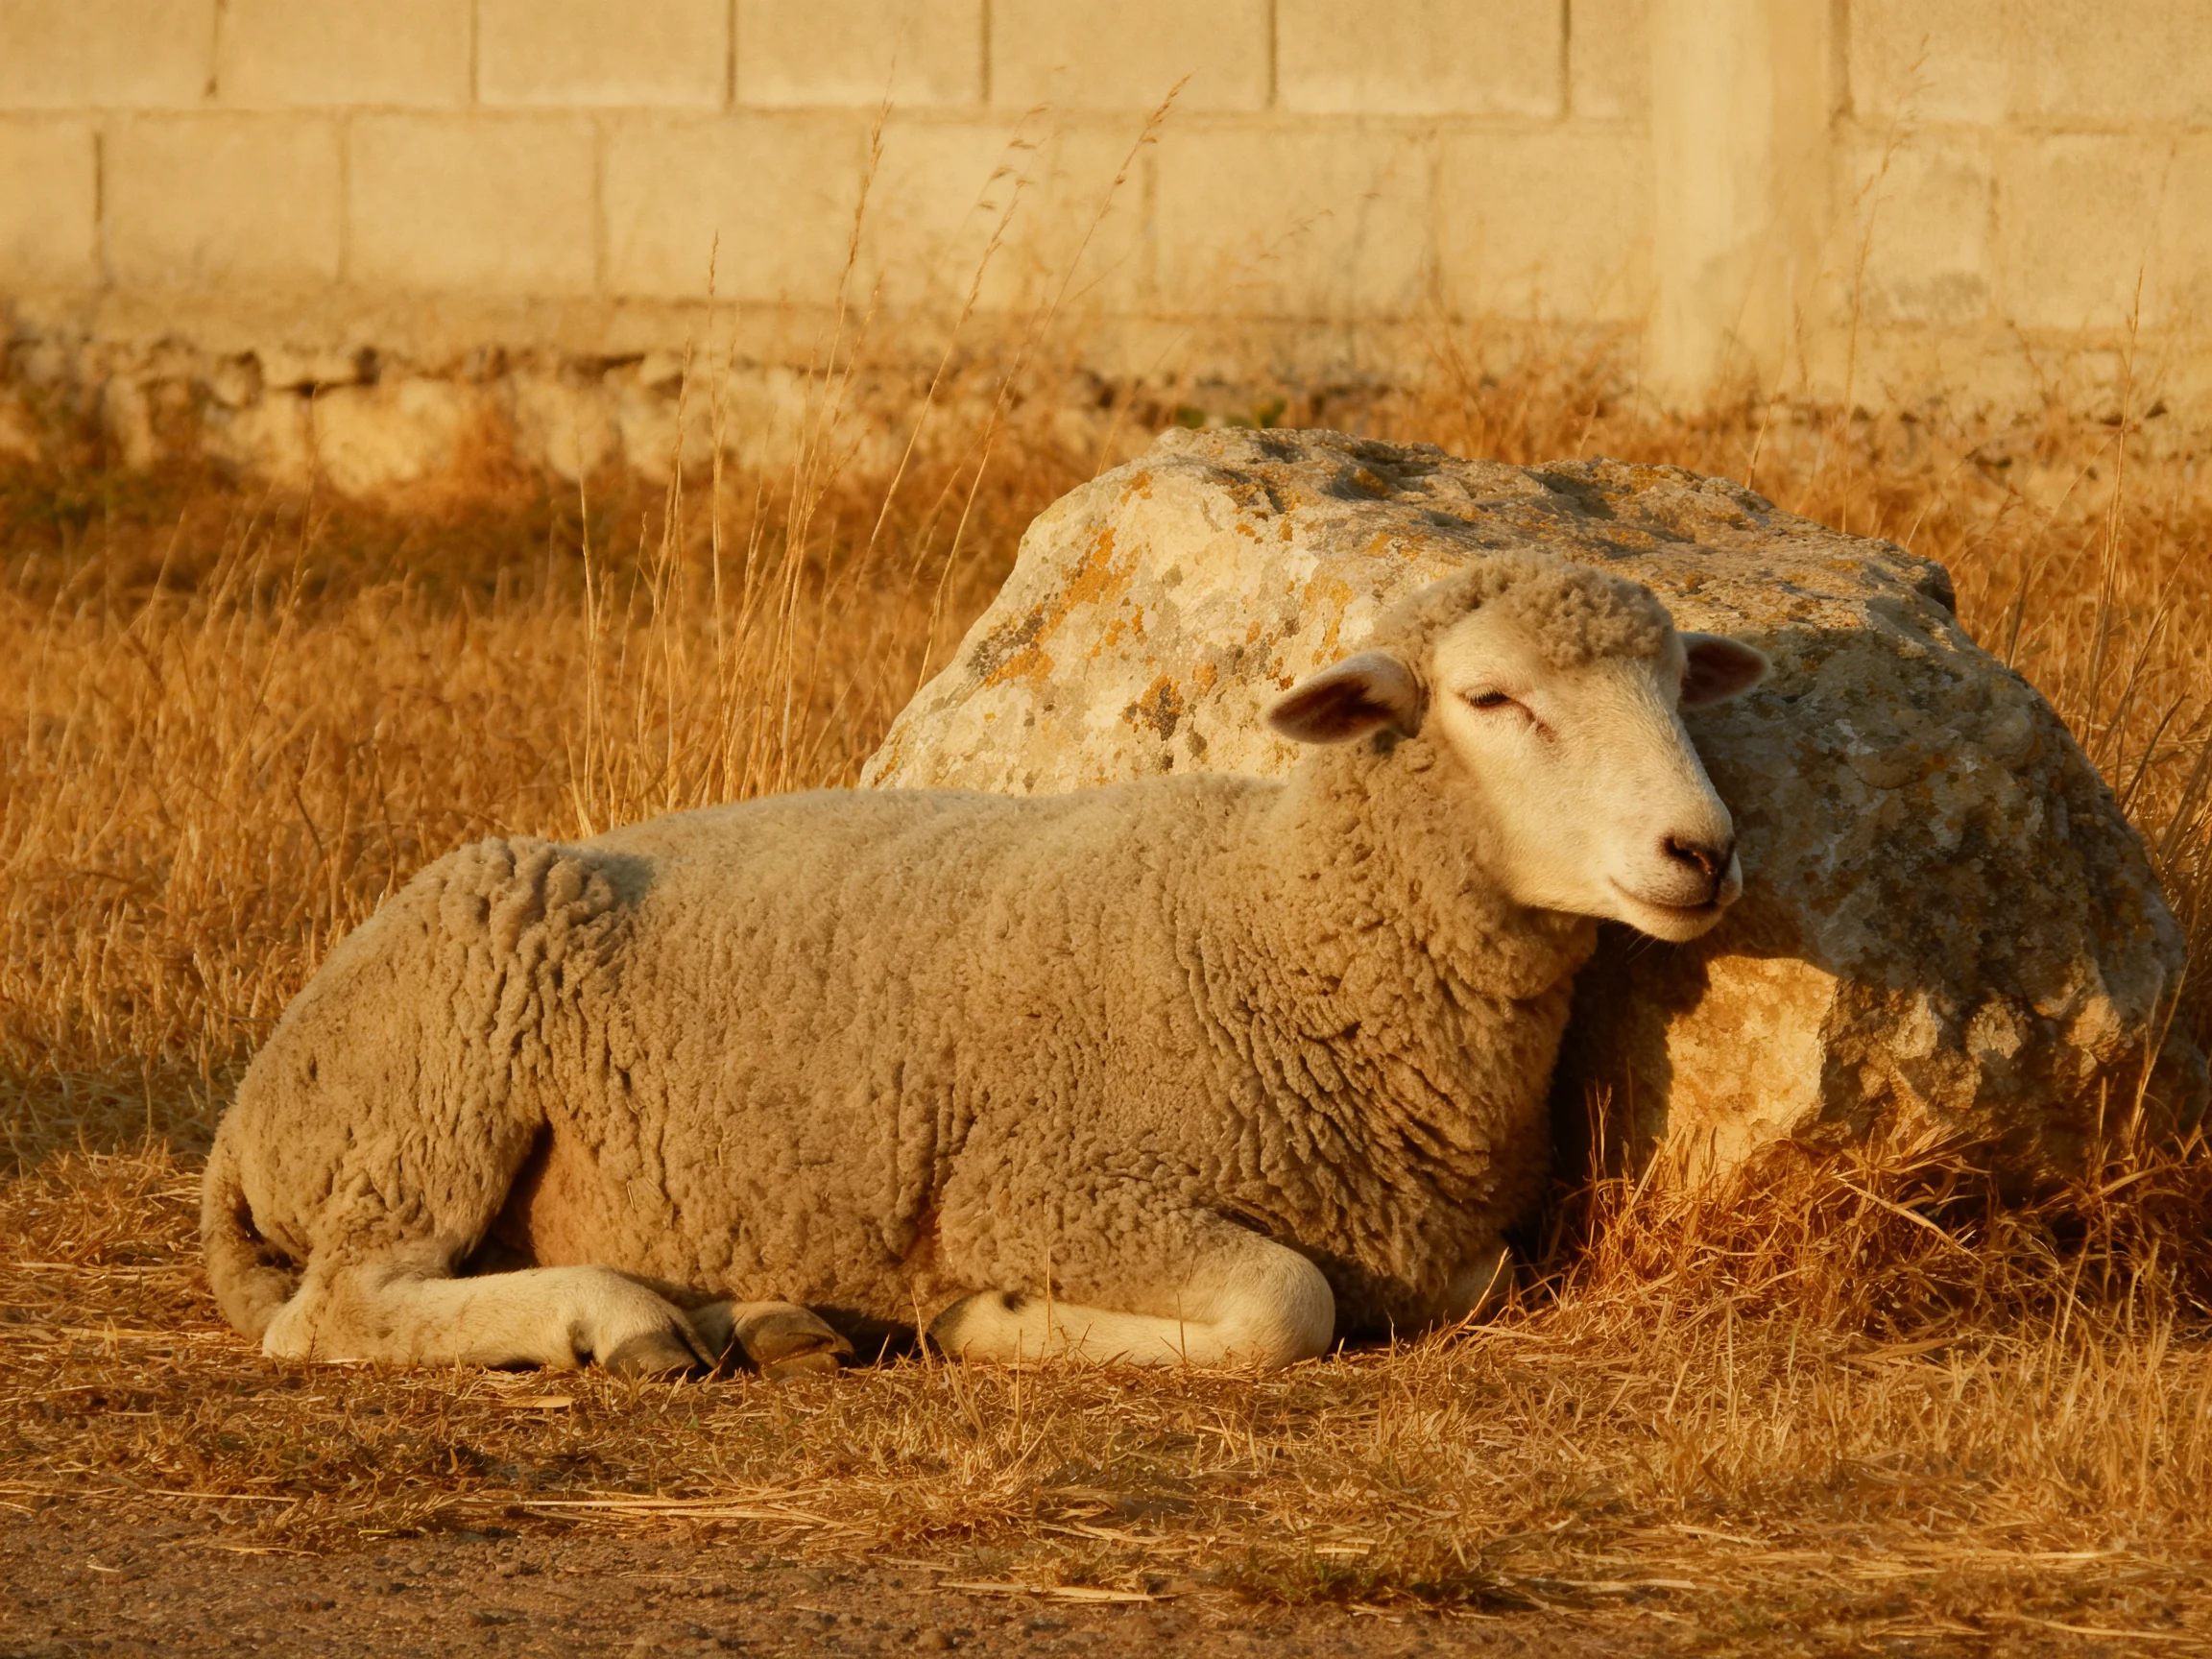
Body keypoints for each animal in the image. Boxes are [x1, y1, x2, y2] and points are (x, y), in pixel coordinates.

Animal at [201, 554, 1769, 1376]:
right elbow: (1286, 1308)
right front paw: (993, 1321)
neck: (1282, 928)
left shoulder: (1444, 1248)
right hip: (434, 1083)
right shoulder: (1053, 1189)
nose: (1704, 850)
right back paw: (622, 1321)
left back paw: (758, 1321)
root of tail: (246, 1115)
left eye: (1678, 684)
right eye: (1493, 700)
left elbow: (1469, 1283)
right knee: (334, 1311)